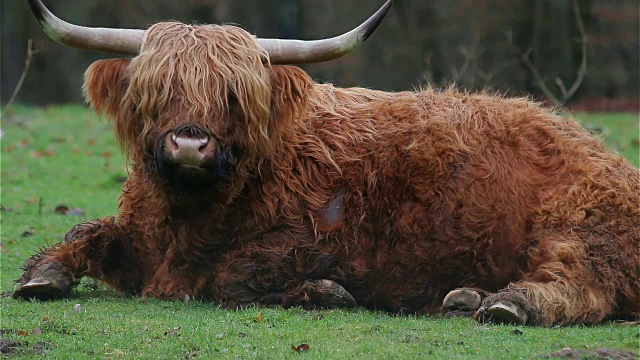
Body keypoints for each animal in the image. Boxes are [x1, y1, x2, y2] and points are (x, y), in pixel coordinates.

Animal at [15, 0, 640, 326]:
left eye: (233, 96)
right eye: (157, 89)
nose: (190, 146)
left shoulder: (327, 240)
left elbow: (232, 275)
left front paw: (325, 292)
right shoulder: (139, 236)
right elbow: (85, 230)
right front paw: (43, 275)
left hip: (582, 225)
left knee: (581, 287)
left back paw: (508, 302)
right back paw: (467, 298)